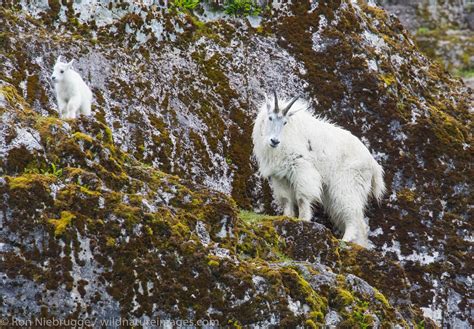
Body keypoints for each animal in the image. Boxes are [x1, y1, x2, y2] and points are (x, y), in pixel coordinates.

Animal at [252, 89, 386, 246]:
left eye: (285, 122)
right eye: (270, 118)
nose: (274, 141)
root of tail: (374, 165)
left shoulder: (302, 168)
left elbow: (302, 197)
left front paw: (303, 220)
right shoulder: (280, 176)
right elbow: (286, 199)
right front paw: (286, 217)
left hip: (348, 184)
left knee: (354, 215)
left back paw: (345, 240)